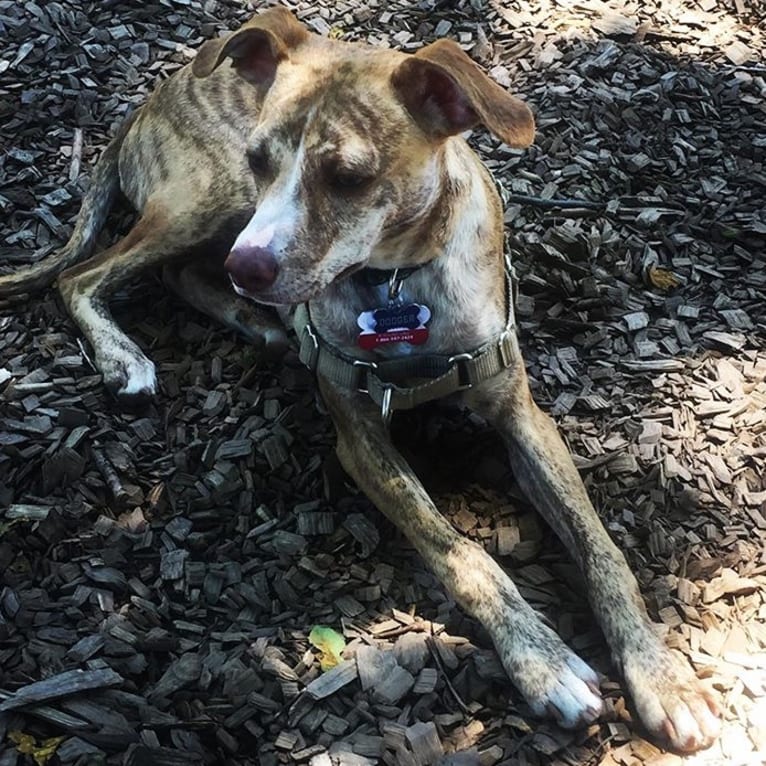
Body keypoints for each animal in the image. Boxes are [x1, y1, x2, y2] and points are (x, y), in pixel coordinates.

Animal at [0, 7, 720, 756]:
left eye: (347, 177)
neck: (399, 284)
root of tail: (151, 96)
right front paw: (542, 661)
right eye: (263, 159)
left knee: (174, 272)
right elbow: (461, 551)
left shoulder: (523, 415)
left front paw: (659, 674)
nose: (250, 269)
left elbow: (600, 548)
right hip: (211, 199)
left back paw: (245, 317)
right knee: (81, 275)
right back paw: (129, 352)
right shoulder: (361, 439)